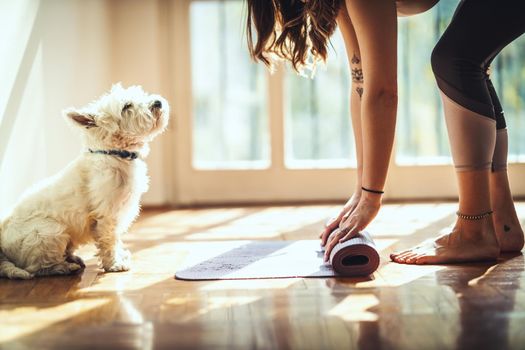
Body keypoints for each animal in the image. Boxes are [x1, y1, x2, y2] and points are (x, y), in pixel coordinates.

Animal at [0, 84, 168, 278]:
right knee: (37, 267)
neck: (115, 154)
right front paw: (114, 264)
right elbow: (109, 240)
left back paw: (72, 258)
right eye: (126, 106)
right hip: (49, 231)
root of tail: (2, 248)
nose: (158, 102)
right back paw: (65, 267)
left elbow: (116, 239)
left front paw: (120, 257)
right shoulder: (107, 214)